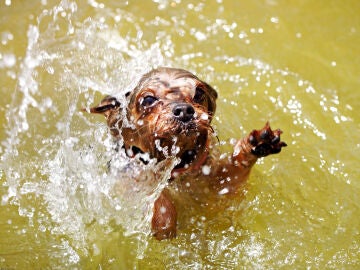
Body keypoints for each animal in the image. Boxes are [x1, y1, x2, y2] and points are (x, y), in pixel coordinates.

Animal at [87, 66, 286, 239]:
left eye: (199, 93)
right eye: (148, 100)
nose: (183, 110)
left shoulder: (221, 188)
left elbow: (234, 169)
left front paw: (258, 143)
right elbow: (153, 195)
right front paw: (164, 218)